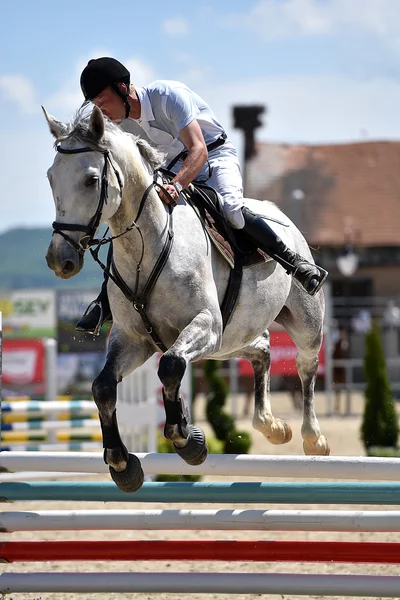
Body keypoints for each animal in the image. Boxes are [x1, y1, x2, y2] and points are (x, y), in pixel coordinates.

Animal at [43, 105, 330, 494]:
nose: (60, 260)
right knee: (262, 349)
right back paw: (271, 426)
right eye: (51, 178)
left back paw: (313, 437)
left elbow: (170, 366)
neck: (145, 246)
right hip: (229, 340)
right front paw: (121, 463)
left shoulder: (204, 324)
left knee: (305, 364)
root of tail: (276, 211)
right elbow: (103, 386)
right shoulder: (133, 339)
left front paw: (188, 440)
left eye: (91, 180)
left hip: (302, 322)